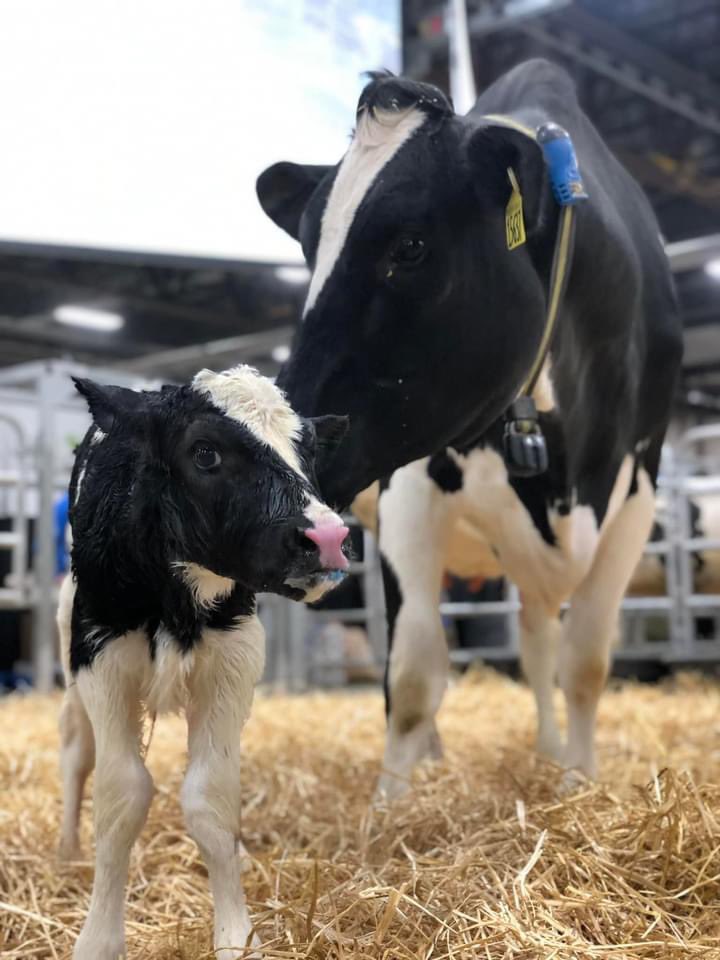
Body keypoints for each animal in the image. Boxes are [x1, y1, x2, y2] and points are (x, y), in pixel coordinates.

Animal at [57, 365, 349, 960]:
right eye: (206, 453)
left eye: (307, 450)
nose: (329, 537)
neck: (175, 599)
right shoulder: (99, 654)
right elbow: (120, 794)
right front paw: (98, 940)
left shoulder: (236, 655)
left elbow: (211, 798)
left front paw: (237, 937)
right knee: (77, 753)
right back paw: (67, 853)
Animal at [256, 60, 683, 798]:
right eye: (310, 249)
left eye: (410, 246)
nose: (293, 440)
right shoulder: (409, 488)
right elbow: (414, 670)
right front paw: (391, 801)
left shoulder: (636, 493)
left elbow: (585, 662)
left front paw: (578, 779)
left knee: (537, 640)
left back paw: (546, 749)